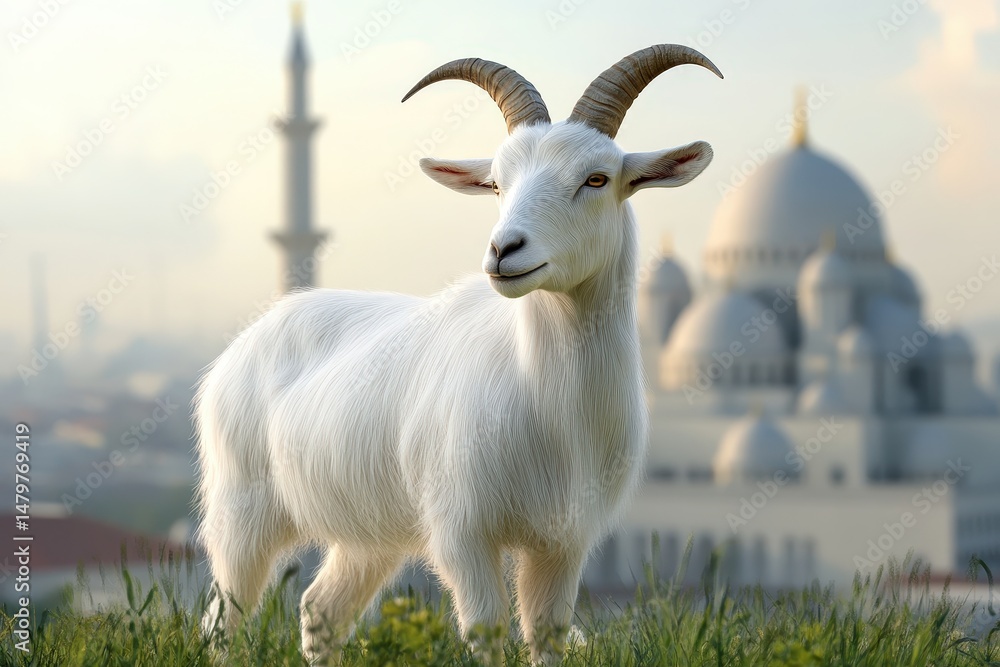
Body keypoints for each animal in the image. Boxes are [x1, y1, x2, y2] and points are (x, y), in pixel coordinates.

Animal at [195, 44, 721, 664]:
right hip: (242, 511)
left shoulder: (563, 545)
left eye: (597, 178)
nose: (504, 250)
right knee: (223, 618)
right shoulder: (463, 534)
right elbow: (487, 632)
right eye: (496, 183)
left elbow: (546, 636)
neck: (547, 405)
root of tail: (245, 342)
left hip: (370, 534)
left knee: (320, 609)